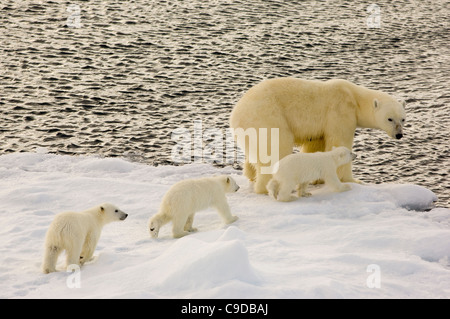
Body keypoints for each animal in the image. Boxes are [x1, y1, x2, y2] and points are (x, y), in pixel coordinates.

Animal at [230, 78, 406, 192]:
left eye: (403, 119)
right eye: (390, 119)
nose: (399, 135)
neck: (354, 97)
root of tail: (235, 114)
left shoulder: (318, 130)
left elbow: (315, 145)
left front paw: (316, 177)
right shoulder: (341, 111)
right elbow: (339, 141)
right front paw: (353, 180)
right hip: (267, 116)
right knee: (277, 147)